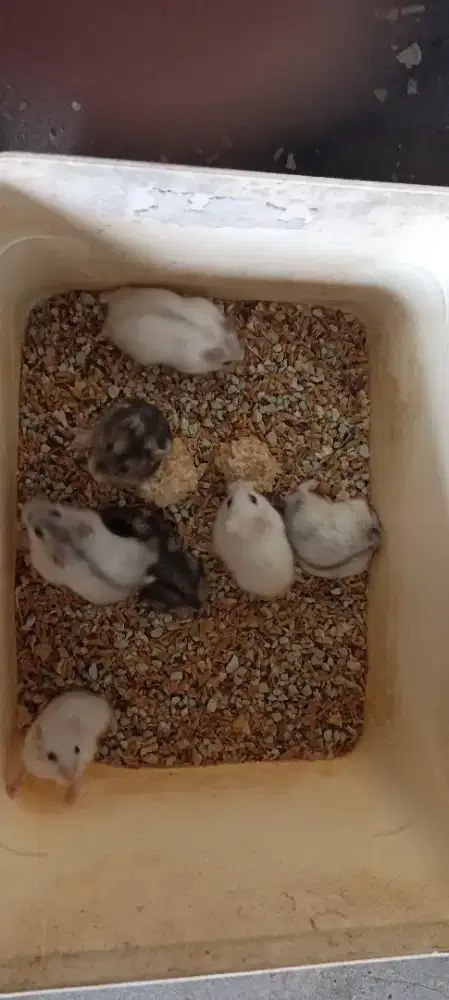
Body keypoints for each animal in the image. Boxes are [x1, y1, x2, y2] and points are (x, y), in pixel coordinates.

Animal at [100, 286, 244, 374]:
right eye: (227, 362)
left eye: (237, 342)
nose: (242, 357)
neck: (214, 338)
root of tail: (113, 313)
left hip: (129, 291)